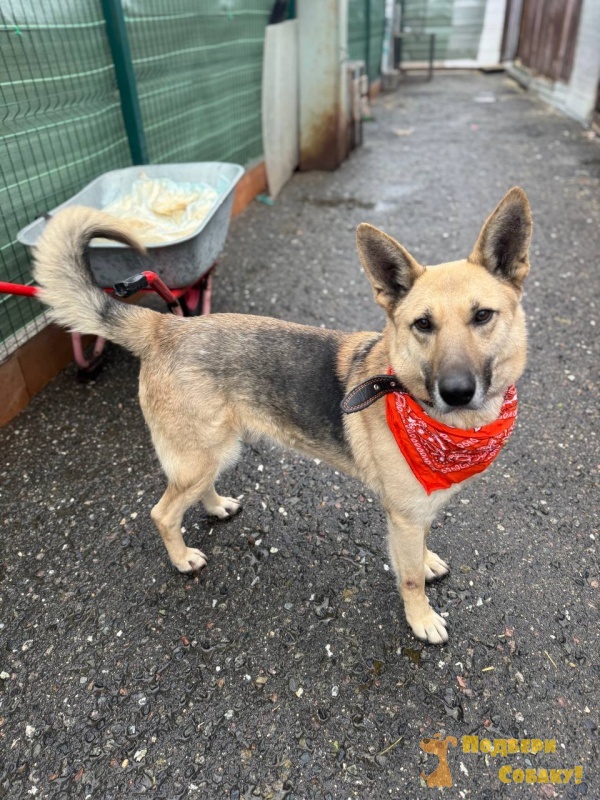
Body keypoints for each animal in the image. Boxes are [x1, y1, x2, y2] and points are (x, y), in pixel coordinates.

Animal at [32, 187, 532, 644]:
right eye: (423, 325)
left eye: (483, 316)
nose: (457, 392)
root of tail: (166, 326)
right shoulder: (404, 517)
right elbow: (407, 577)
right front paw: (421, 618)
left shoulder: (414, 514)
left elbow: (420, 550)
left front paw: (427, 564)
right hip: (200, 455)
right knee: (162, 512)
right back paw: (181, 557)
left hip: (216, 452)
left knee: (196, 491)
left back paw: (216, 506)